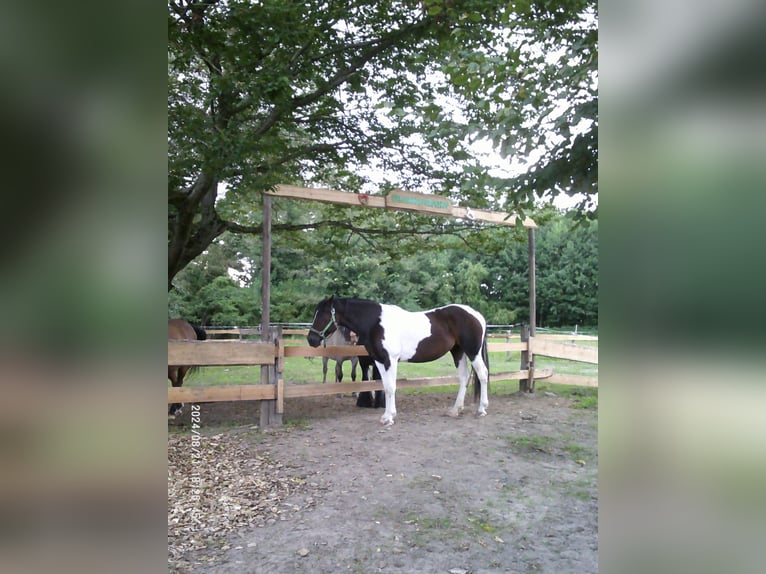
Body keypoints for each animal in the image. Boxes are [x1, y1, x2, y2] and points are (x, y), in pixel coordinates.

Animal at [308, 296, 489, 426]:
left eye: (323, 314)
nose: (311, 339)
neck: (375, 322)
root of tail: (477, 315)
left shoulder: (391, 360)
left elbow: (391, 387)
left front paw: (389, 418)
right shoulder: (380, 361)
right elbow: (385, 386)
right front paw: (386, 416)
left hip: (473, 352)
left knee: (482, 374)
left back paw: (481, 409)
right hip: (458, 351)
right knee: (464, 377)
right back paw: (455, 410)